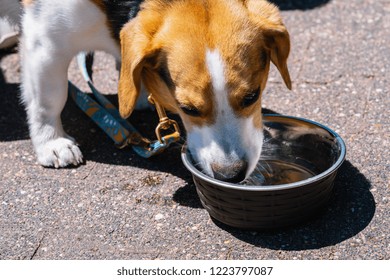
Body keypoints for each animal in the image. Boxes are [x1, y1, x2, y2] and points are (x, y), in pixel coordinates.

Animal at [7, 0, 290, 183]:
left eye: (252, 96)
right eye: (187, 109)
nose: (230, 174)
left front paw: (140, 91)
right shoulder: (45, 40)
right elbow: (50, 99)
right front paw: (51, 141)